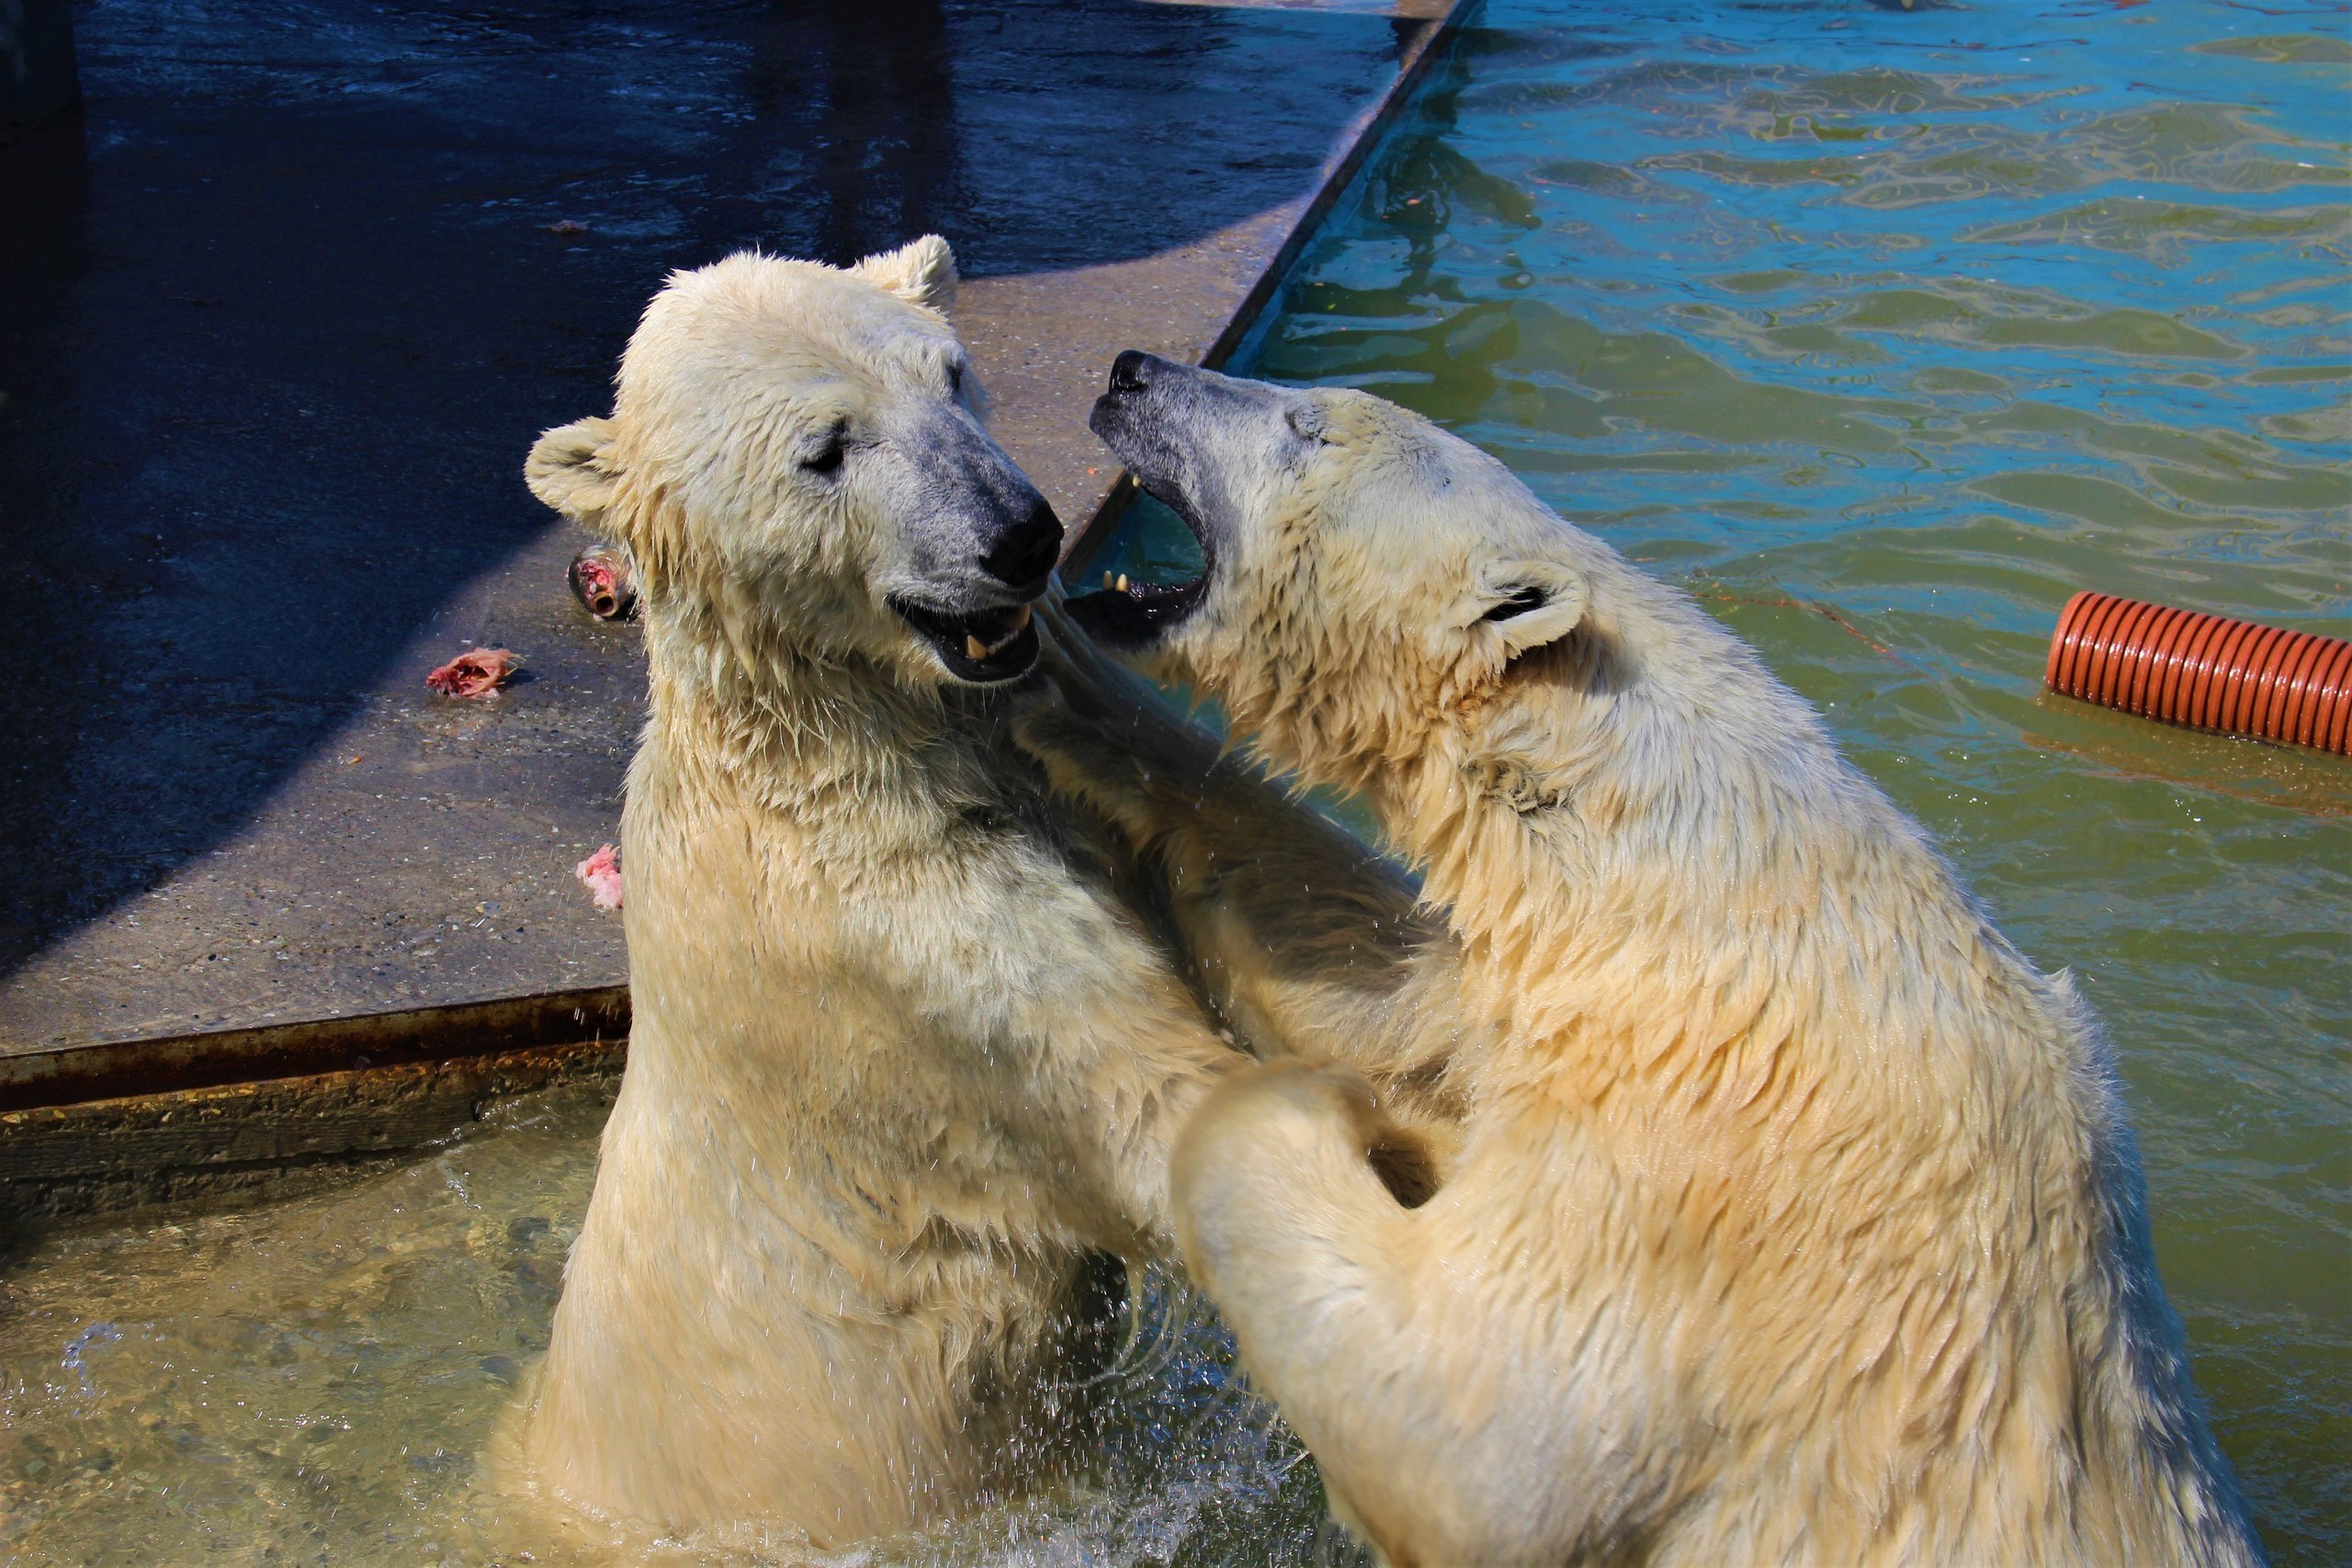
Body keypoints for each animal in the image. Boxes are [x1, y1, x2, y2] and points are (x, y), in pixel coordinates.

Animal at [501, 251, 1374, 1551]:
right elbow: (1154, 1110)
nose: (1024, 536)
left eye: (950, 373)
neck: (808, 757)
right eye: (824, 448)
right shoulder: (886, 953)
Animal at [1025, 355, 2257, 1568]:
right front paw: (1070, 685)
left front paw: (1305, 1115)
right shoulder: (1544, 997)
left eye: (1307, 425)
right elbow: (1368, 977)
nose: (1132, 371)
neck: (1694, 892)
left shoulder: (1697, 1156)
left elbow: (1467, 1428)